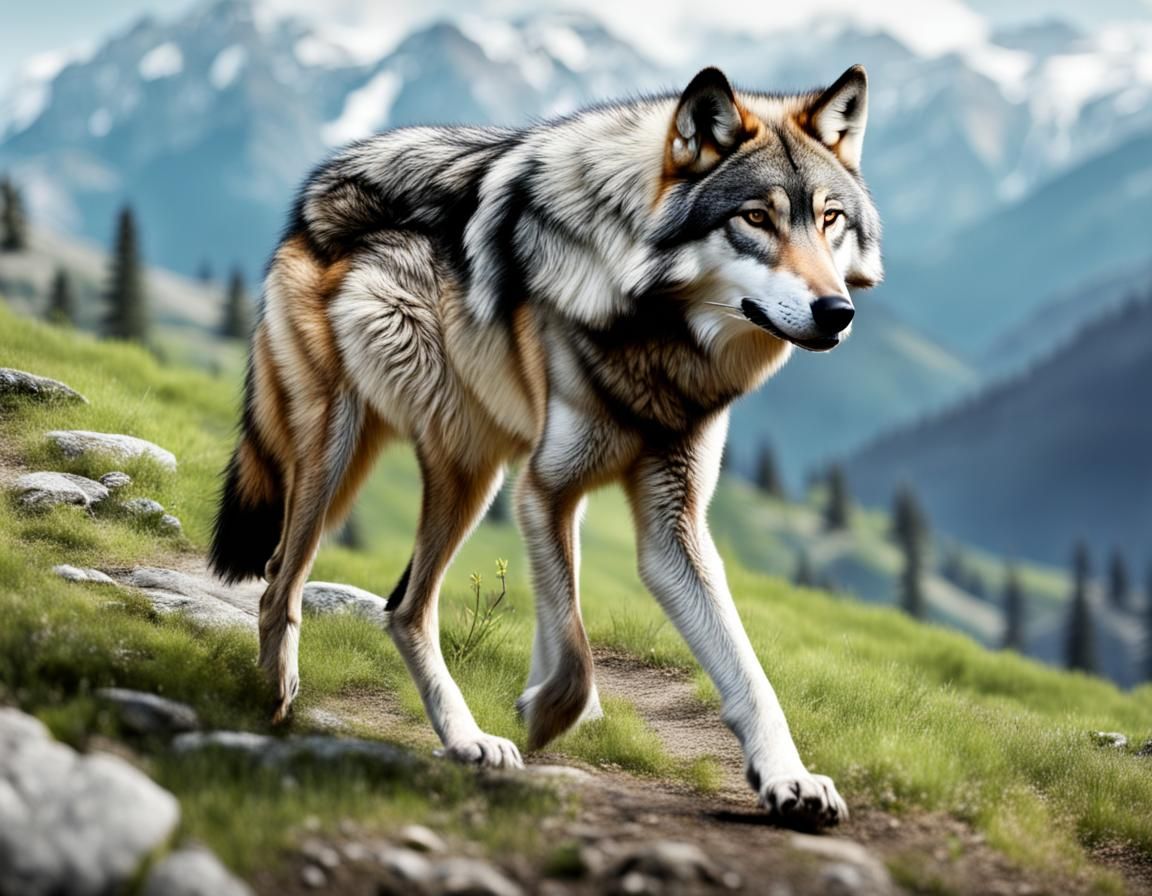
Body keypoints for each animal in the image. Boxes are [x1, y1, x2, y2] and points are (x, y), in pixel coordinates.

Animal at [210, 64, 882, 828]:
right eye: (756, 219)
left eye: (829, 219)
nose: (837, 312)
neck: (656, 335)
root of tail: (315, 192)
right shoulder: (546, 487)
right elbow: (578, 652)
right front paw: (548, 716)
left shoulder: (669, 522)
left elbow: (746, 670)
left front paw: (789, 781)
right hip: (370, 458)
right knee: (292, 587)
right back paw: (283, 698)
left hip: (467, 468)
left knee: (393, 605)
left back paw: (465, 740)